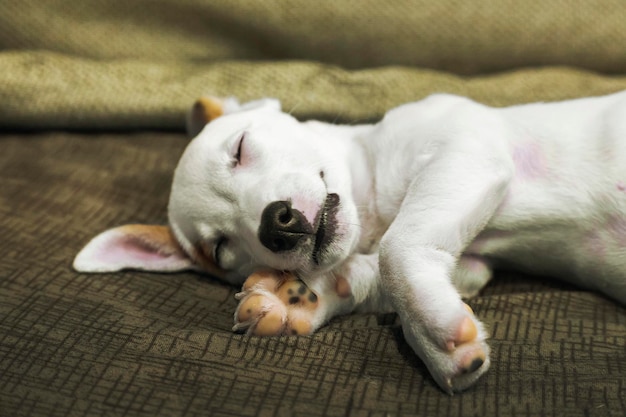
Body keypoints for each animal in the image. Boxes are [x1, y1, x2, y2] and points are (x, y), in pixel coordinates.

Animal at [74, 92, 624, 394]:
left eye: (241, 148)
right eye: (223, 250)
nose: (276, 224)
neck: (375, 202)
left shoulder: (466, 152)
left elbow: (396, 252)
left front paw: (436, 341)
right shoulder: (467, 264)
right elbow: (373, 271)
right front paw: (298, 297)